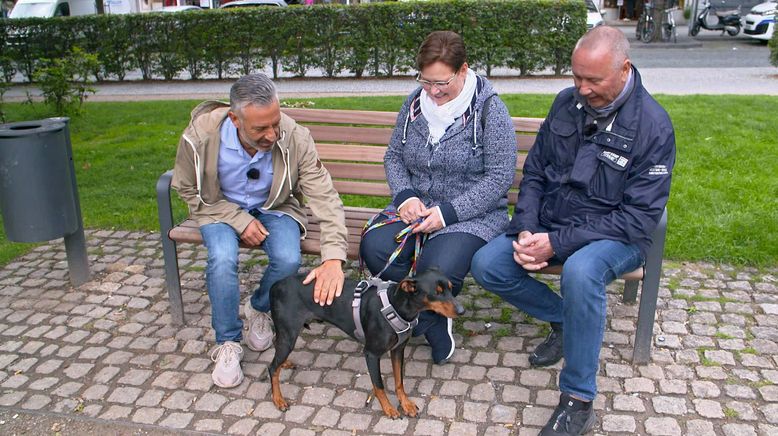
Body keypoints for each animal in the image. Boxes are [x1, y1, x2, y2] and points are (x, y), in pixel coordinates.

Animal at [268, 270, 460, 418]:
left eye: (451, 289)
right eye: (436, 292)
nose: (461, 310)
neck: (397, 307)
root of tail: (275, 285)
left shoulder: (398, 350)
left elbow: (399, 381)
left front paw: (406, 404)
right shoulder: (371, 353)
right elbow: (379, 385)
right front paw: (389, 408)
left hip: (285, 334)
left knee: (275, 349)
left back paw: (284, 363)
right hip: (289, 335)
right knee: (272, 368)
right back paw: (278, 400)